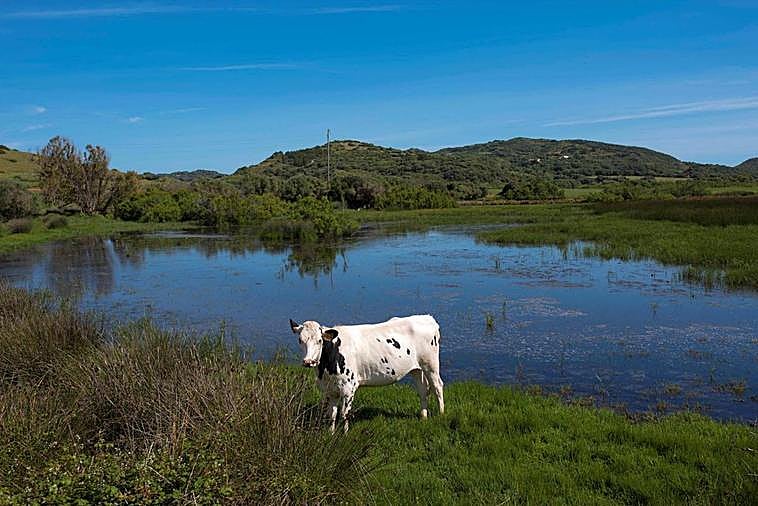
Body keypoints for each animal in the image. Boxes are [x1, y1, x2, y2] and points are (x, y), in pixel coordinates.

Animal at [290, 315, 444, 433]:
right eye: (300, 340)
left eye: (320, 340)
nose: (308, 361)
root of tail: (426, 317)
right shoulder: (330, 390)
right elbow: (331, 414)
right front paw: (331, 434)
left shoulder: (349, 387)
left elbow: (345, 413)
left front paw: (344, 435)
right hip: (416, 369)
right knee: (423, 390)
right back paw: (423, 417)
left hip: (431, 365)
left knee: (437, 387)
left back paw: (441, 414)